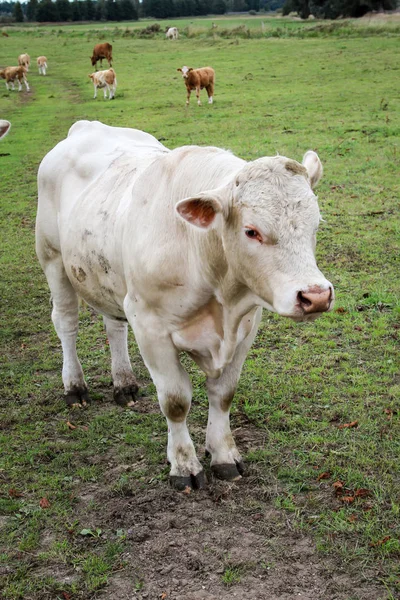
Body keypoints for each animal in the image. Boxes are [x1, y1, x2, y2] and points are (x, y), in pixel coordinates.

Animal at [36, 119, 334, 490]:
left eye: (316, 224)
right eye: (251, 231)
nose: (316, 295)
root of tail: (85, 126)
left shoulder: (247, 325)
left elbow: (223, 394)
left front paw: (223, 455)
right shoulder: (149, 326)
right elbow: (176, 401)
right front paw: (184, 465)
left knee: (113, 325)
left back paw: (124, 383)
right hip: (52, 258)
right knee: (66, 322)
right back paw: (74, 386)